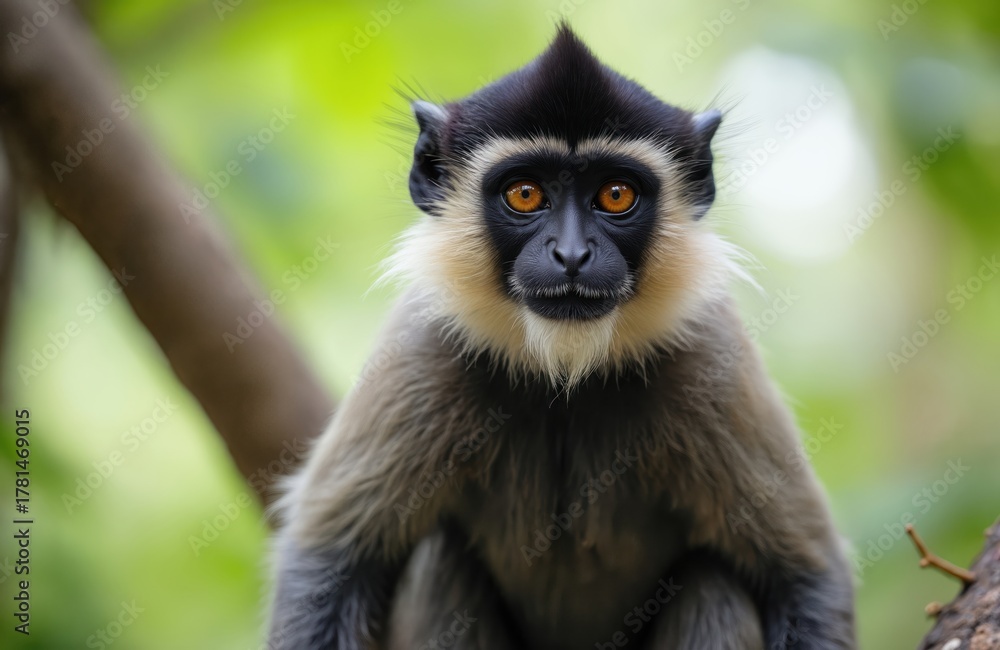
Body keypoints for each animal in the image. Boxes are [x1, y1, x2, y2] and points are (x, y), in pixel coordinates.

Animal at [266, 25, 855, 650]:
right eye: (525, 194)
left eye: (616, 194)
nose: (572, 256)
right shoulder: (424, 342)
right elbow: (329, 564)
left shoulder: (711, 349)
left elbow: (808, 575)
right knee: (438, 559)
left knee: (712, 583)